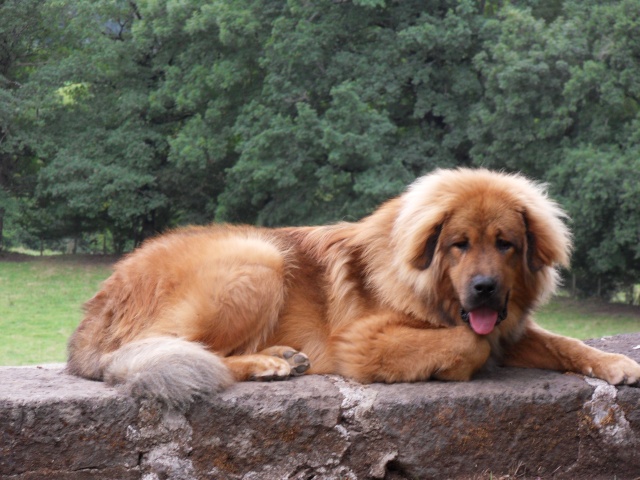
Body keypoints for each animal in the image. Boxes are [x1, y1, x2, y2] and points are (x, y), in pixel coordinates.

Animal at [66, 167, 640, 406]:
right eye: (458, 244)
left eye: (506, 244)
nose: (484, 288)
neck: (426, 287)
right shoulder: (362, 342)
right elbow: (468, 343)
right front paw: (454, 366)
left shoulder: (508, 328)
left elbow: (563, 342)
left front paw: (616, 363)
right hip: (258, 258)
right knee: (178, 350)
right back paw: (270, 363)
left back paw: (278, 355)